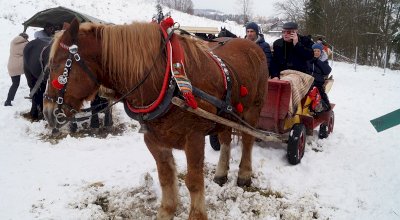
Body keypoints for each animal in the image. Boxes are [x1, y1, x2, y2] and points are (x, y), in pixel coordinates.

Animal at [43, 19, 268, 220]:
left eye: (56, 65)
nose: (47, 112)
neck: (168, 80)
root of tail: (251, 45)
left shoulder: (194, 138)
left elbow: (194, 181)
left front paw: (197, 215)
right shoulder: (154, 139)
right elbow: (166, 178)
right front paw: (166, 212)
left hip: (253, 110)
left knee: (248, 140)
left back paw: (244, 174)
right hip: (226, 113)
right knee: (225, 138)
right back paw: (221, 173)